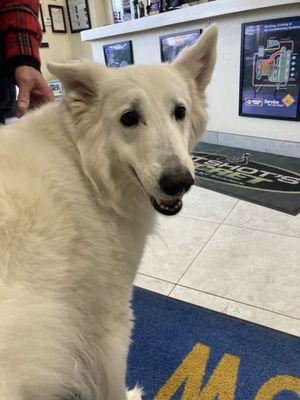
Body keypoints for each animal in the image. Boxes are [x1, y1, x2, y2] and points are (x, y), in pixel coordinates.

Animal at [0, 25, 217, 400]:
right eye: (129, 118)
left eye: (180, 112)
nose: (179, 182)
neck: (85, 167)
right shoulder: (109, 320)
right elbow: (112, 386)